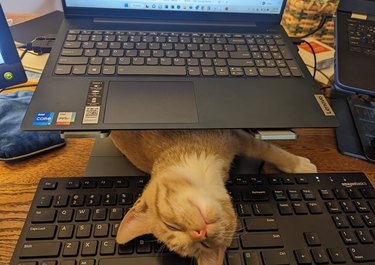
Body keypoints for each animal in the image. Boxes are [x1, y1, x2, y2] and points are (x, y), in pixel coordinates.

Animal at [111, 129, 318, 264]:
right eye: (204, 245)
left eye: (171, 225)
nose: (200, 233)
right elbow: (264, 148)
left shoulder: (233, 135)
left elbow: (266, 148)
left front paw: (299, 165)